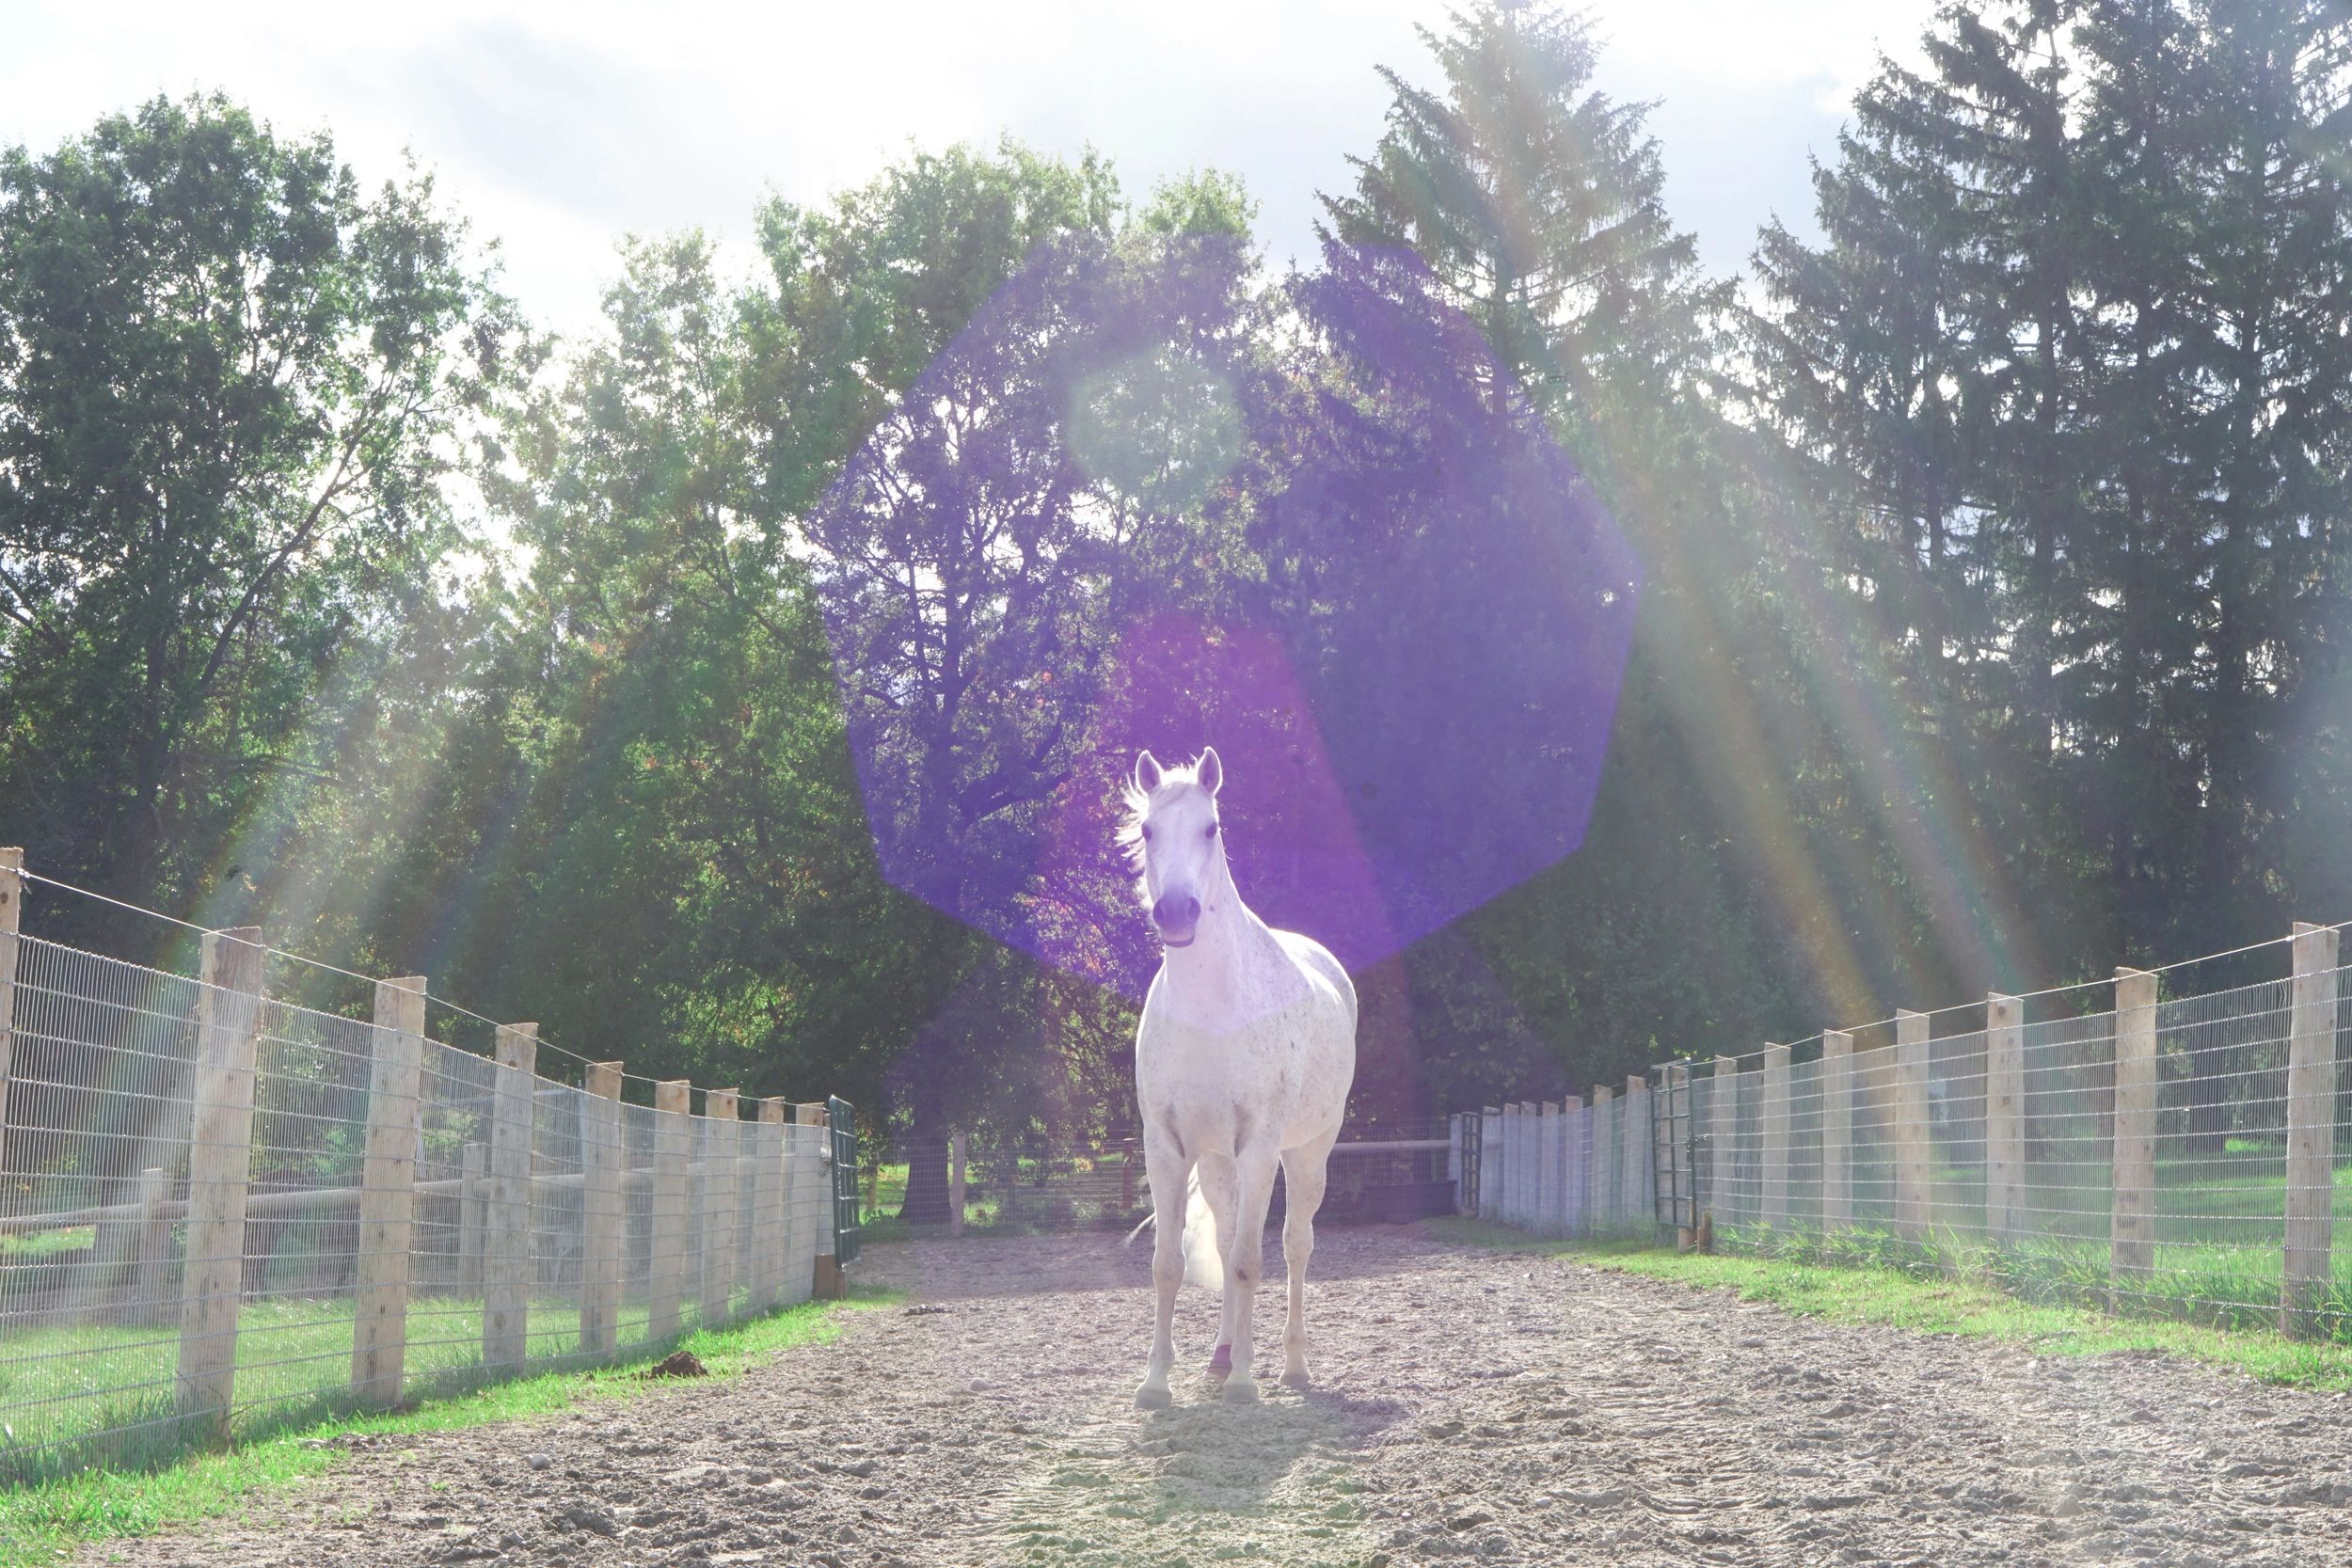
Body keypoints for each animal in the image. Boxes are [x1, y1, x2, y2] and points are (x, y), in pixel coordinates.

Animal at [1123, 746, 1358, 1406]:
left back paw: (1290, 1367)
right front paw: (1155, 1385)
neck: (1211, 1010)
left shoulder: (1258, 1149)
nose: (1177, 912)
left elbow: (1252, 1263)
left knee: (1294, 1246)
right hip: (1216, 1164)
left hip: (1306, 1154)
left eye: (1211, 828)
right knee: (1227, 1241)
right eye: (1147, 830)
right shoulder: (1167, 1148)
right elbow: (1169, 1266)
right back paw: (1223, 1355)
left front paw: (1246, 1386)